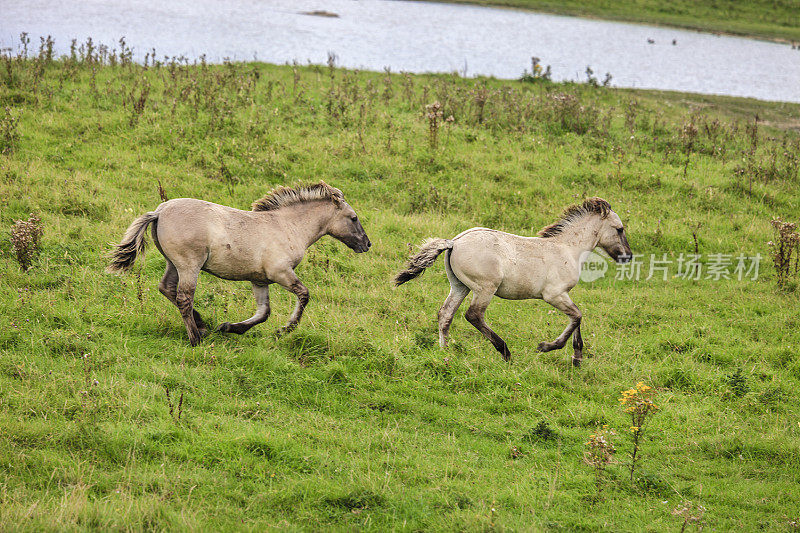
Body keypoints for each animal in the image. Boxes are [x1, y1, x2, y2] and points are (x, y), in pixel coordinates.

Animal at [108, 181, 372, 342]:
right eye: (353, 218)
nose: (366, 244)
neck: (288, 226)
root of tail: (159, 211)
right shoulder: (281, 273)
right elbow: (304, 295)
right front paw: (285, 329)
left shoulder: (260, 280)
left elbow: (263, 312)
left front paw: (230, 327)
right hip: (189, 265)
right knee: (183, 297)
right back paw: (196, 338)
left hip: (174, 263)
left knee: (166, 288)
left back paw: (201, 324)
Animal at [394, 197, 632, 368]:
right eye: (619, 229)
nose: (628, 256)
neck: (566, 249)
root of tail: (454, 242)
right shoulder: (554, 295)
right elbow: (577, 316)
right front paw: (547, 346)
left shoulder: (564, 294)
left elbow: (576, 318)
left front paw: (577, 357)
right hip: (485, 288)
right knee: (473, 315)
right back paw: (505, 351)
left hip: (460, 286)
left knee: (445, 314)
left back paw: (444, 352)